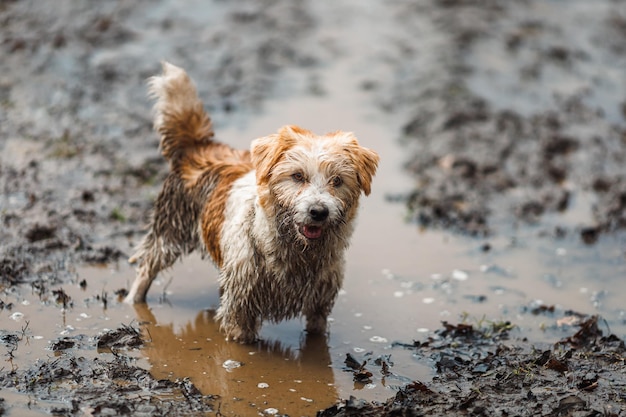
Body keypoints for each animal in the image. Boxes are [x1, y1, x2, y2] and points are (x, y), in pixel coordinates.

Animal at [124, 61, 378, 342]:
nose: (318, 211)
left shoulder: (319, 307)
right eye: (297, 176)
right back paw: (133, 301)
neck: (296, 254)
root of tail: (197, 147)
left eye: (337, 181)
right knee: (146, 269)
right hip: (169, 231)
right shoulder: (240, 311)